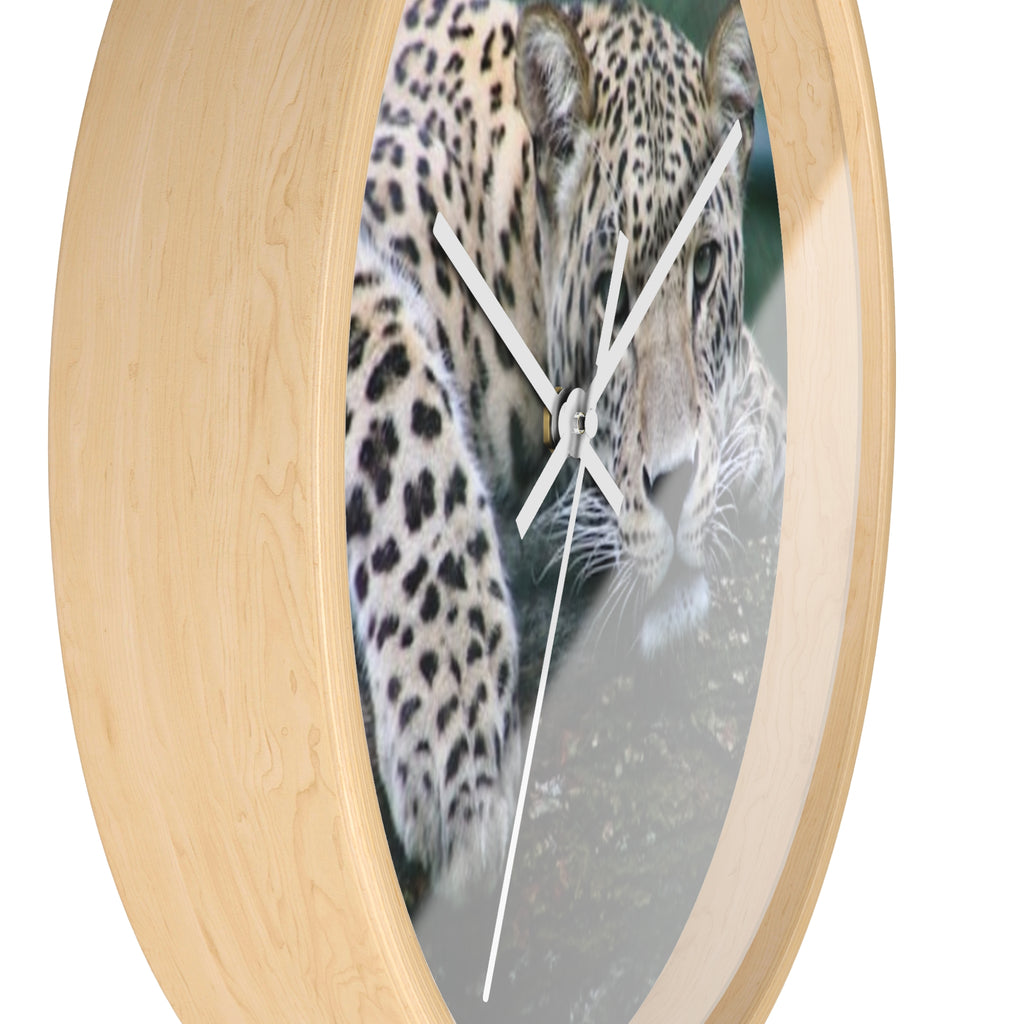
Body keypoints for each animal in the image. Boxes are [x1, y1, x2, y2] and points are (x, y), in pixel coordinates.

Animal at [345, 0, 786, 898]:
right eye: (611, 288)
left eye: (704, 268)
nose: (675, 483)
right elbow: (400, 389)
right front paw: (454, 733)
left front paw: (753, 430)